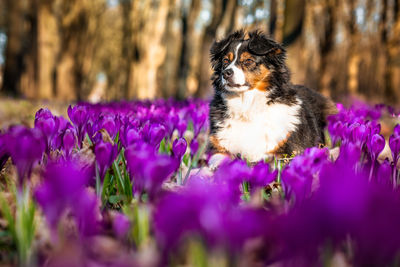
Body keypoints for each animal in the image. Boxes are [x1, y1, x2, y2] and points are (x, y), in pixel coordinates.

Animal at [208, 28, 336, 163]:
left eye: (248, 61)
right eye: (225, 61)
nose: (225, 73)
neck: (247, 106)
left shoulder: (287, 151)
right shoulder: (218, 147)